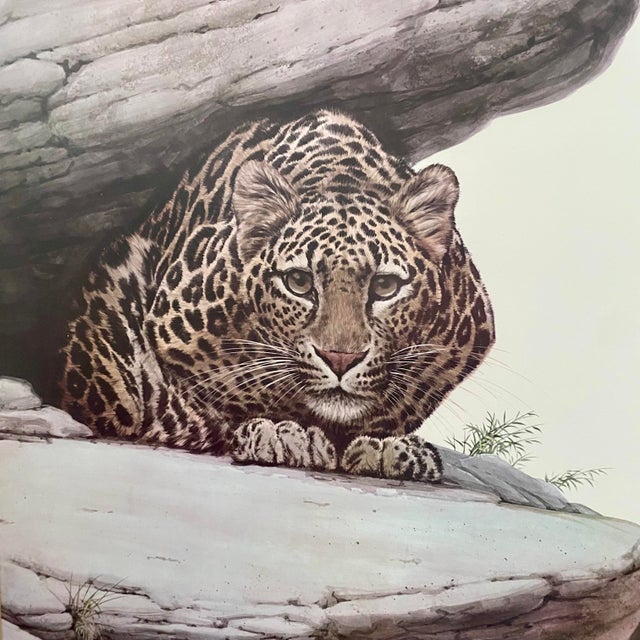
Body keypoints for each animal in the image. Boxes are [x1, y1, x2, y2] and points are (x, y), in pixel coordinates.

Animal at [56, 109, 495, 483]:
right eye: (298, 281)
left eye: (385, 286)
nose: (340, 359)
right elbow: (212, 394)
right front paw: (283, 430)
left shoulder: (460, 342)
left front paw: (385, 443)